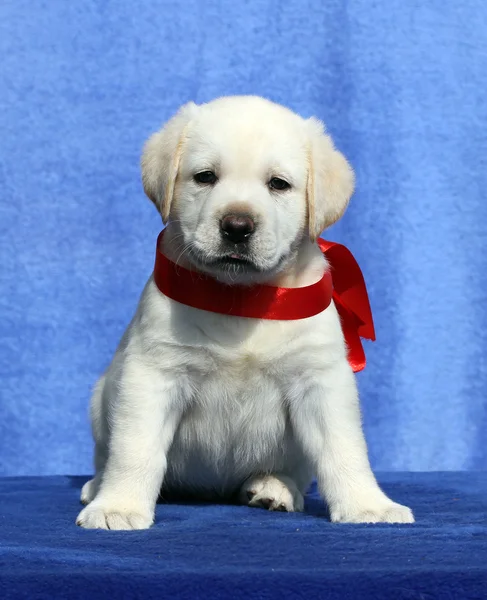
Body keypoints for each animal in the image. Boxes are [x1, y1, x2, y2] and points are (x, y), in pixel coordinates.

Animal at [78, 95, 414, 528]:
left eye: (278, 184)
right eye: (205, 177)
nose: (237, 226)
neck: (243, 298)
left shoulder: (320, 380)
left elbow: (344, 449)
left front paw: (367, 505)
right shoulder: (154, 374)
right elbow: (135, 449)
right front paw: (117, 506)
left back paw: (273, 487)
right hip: (101, 398)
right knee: (106, 455)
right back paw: (96, 487)